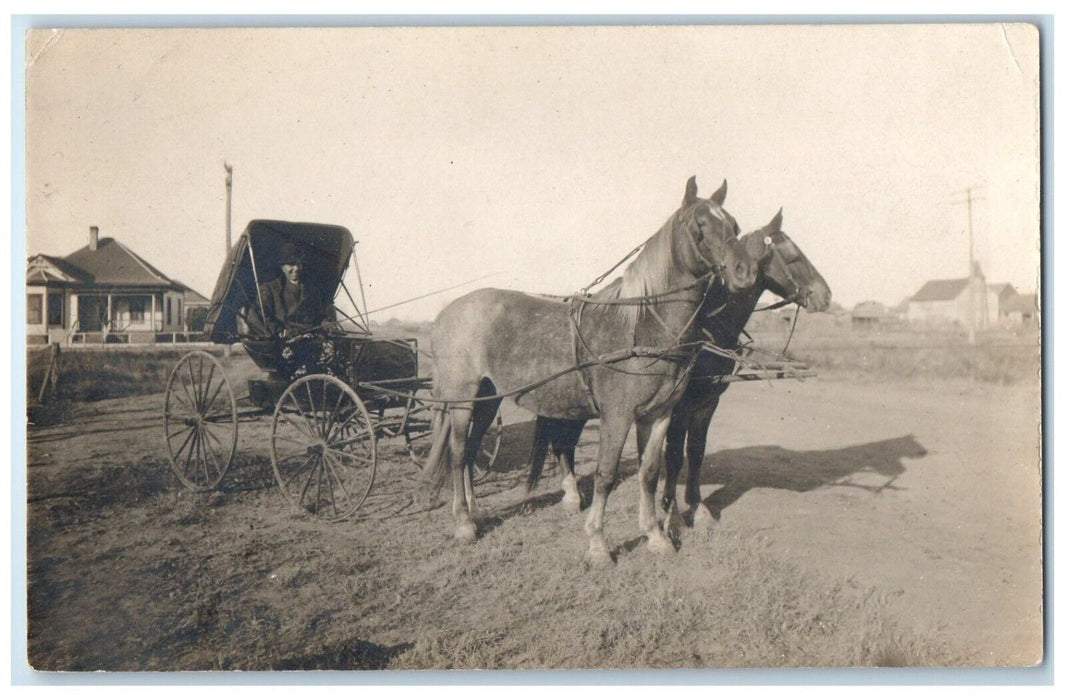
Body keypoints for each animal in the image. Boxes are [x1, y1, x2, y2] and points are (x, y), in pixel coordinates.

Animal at [424, 176, 758, 564]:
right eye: (699, 225)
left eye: (734, 225)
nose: (745, 272)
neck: (641, 326)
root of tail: (445, 314)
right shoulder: (617, 415)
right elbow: (605, 475)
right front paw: (598, 544)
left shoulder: (658, 414)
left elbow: (649, 472)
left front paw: (655, 535)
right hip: (463, 401)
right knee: (459, 453)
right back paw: (463, 524)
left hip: (489, 399)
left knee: (471, 452)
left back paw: (475, 513)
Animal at [527, 210, 832, 531]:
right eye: (794, 256)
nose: (826, 295)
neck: (705, 327)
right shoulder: (679, 406)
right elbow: (673, 456)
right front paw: (670, 511)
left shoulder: (706, 404)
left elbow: (695, 453)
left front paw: (697, 506)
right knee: (564, 440)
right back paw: (572, 494)